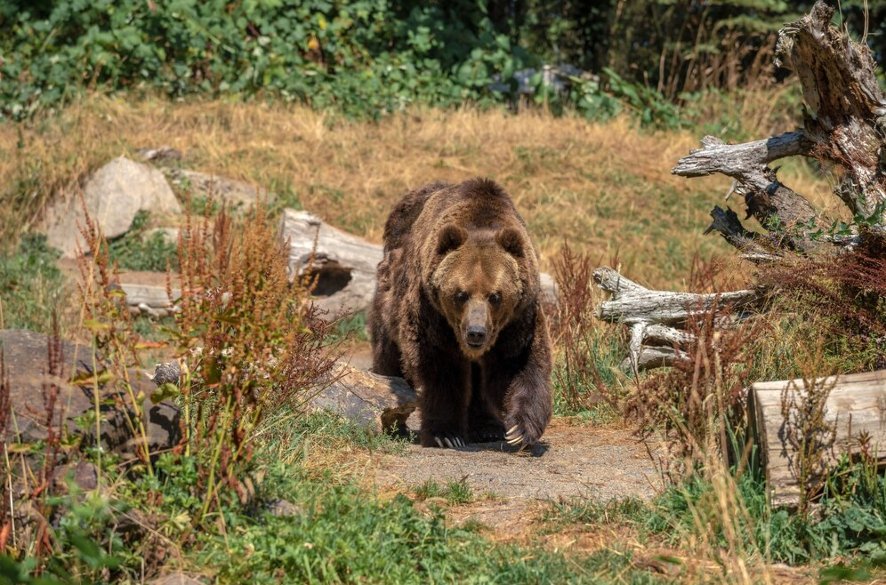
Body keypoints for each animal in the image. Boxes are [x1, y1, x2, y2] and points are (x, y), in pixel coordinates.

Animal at [370, 178, 552, 448]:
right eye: (460, 294)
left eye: (495, 295)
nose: (476, 332)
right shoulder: (432, 313)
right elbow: (440, 367)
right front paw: (446, 434)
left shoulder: (518, 320)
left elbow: (519, 364)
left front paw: (519, 429)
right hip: (391, 294)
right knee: (389, 355)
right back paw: (393, 415)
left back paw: (487, 428)